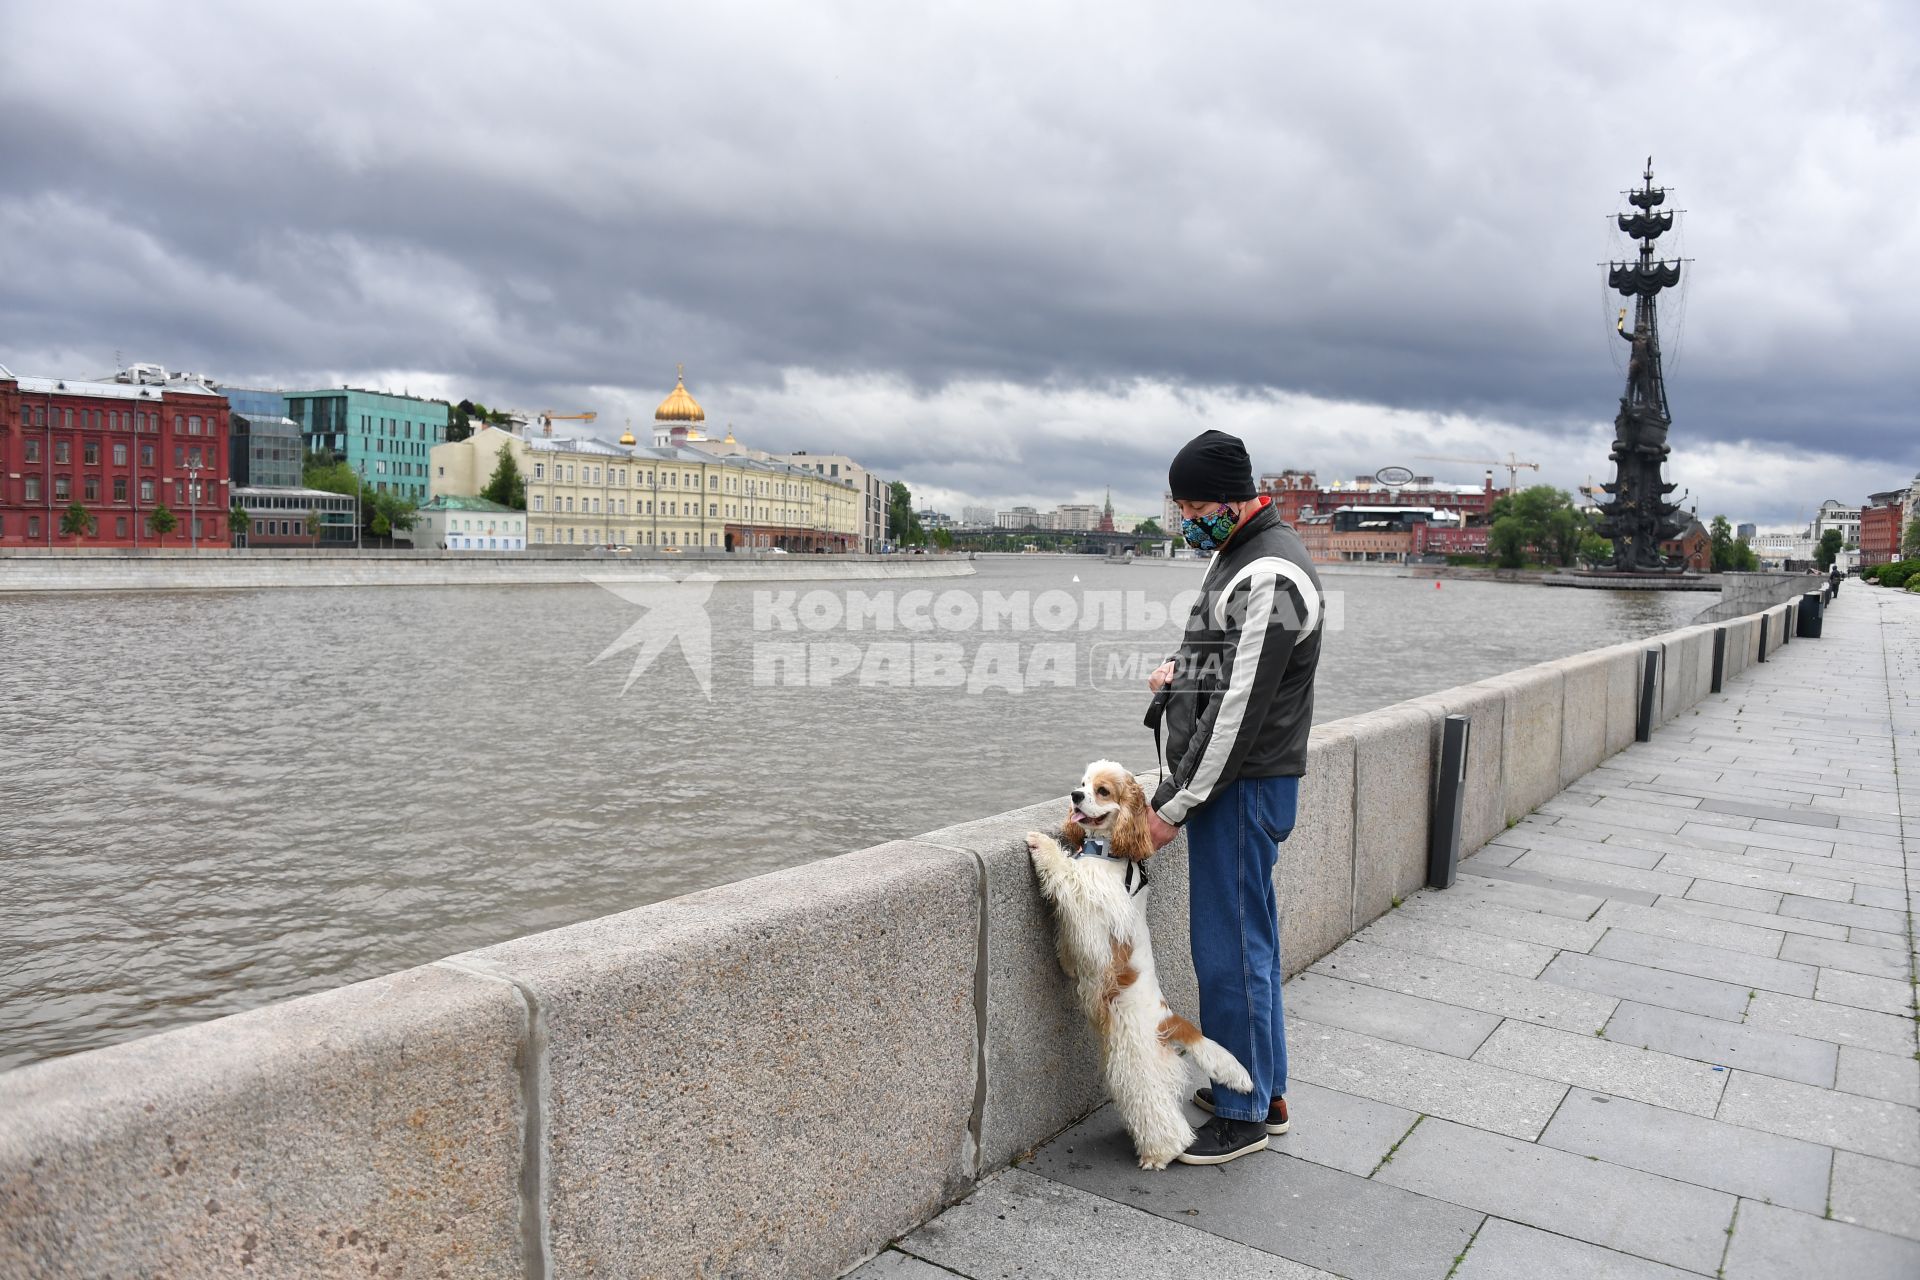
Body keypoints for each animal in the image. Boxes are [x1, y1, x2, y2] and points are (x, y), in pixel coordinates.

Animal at [1029, 759, 1251, 1174]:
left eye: (1102, 791)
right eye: (1083, 783)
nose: (1075, 795)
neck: (1106, 851)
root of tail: (1170, 1019)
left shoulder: (1092, 900)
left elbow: (1068, 874)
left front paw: (1040, 844)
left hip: (1136, 1062)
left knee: (1162, 1117)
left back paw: (1159, 1154)